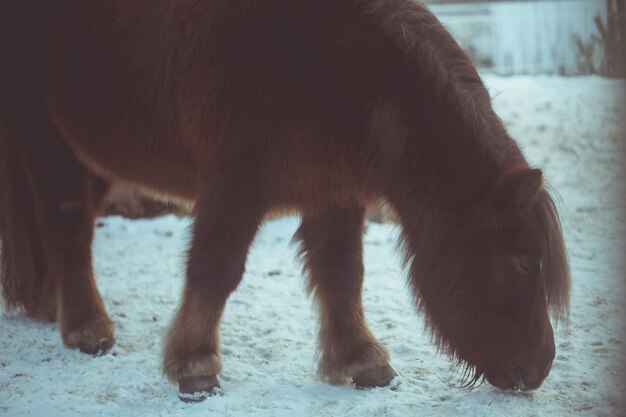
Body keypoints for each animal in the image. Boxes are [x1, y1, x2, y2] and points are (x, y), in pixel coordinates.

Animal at [0, 0, 564, 402]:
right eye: (525, 261)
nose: (541, 368)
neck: (328, 58)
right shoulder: (236, 183)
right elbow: (215, 269)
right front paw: (195, 366)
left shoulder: (335, 193)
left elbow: (342, 276)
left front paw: (362, 360)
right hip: (50, 140)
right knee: (68, 225)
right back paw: (87, 329)